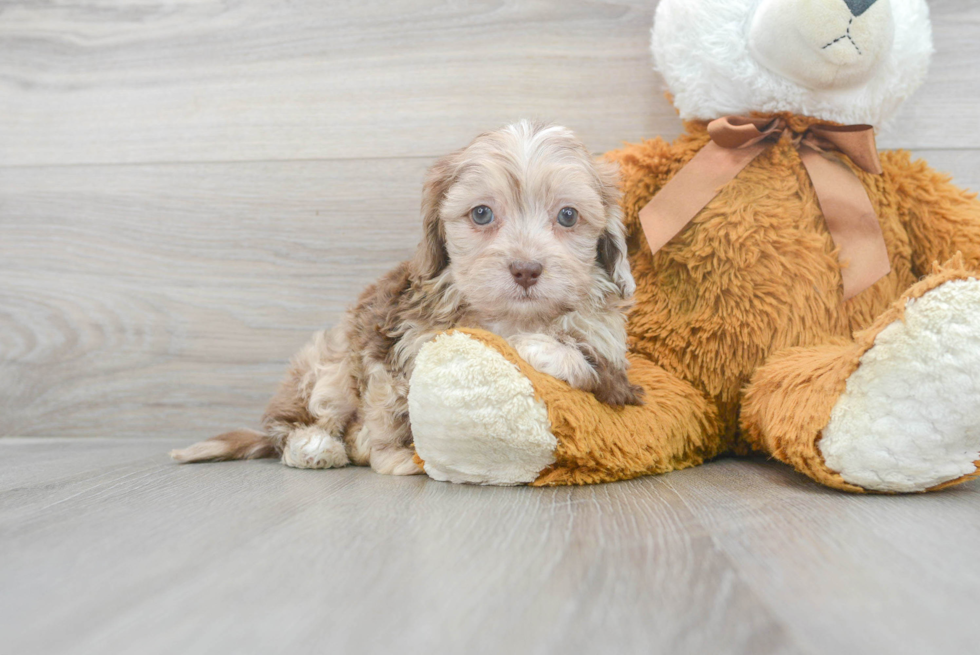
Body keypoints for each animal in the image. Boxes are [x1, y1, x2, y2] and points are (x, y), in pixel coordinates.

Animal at [171, 119, 640, 476]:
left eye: (568, 216)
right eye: (482, 213)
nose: (526, 269)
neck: (509, 316)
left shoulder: (613, 365)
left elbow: (589, 367)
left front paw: (540, 347)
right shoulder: (391, 343)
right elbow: (389, 408)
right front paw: (393, 455)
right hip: (330, 365)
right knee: (291, 424)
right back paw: (316, 446)